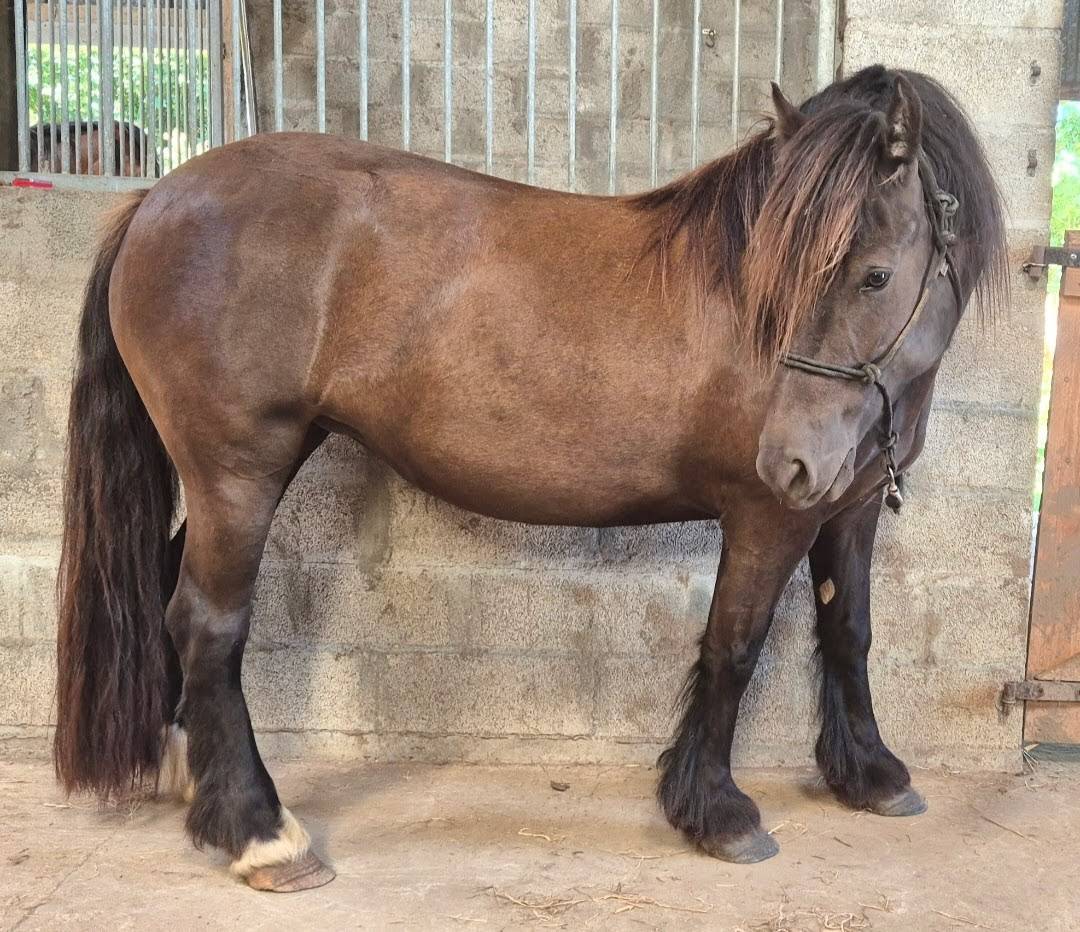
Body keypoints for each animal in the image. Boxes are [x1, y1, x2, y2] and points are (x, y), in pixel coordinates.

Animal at [53, 65, 1007, 890]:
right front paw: (717, 812)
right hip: (238, 474)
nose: (789, 459)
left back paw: (200, 784)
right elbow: (733, 647)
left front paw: (873, 775)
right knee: (207, 625)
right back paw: (262, 833)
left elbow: (849, 632)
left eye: (875, 275)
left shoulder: (845, 509)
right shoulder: (768, 517)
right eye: (779, 273)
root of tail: (157, 199)